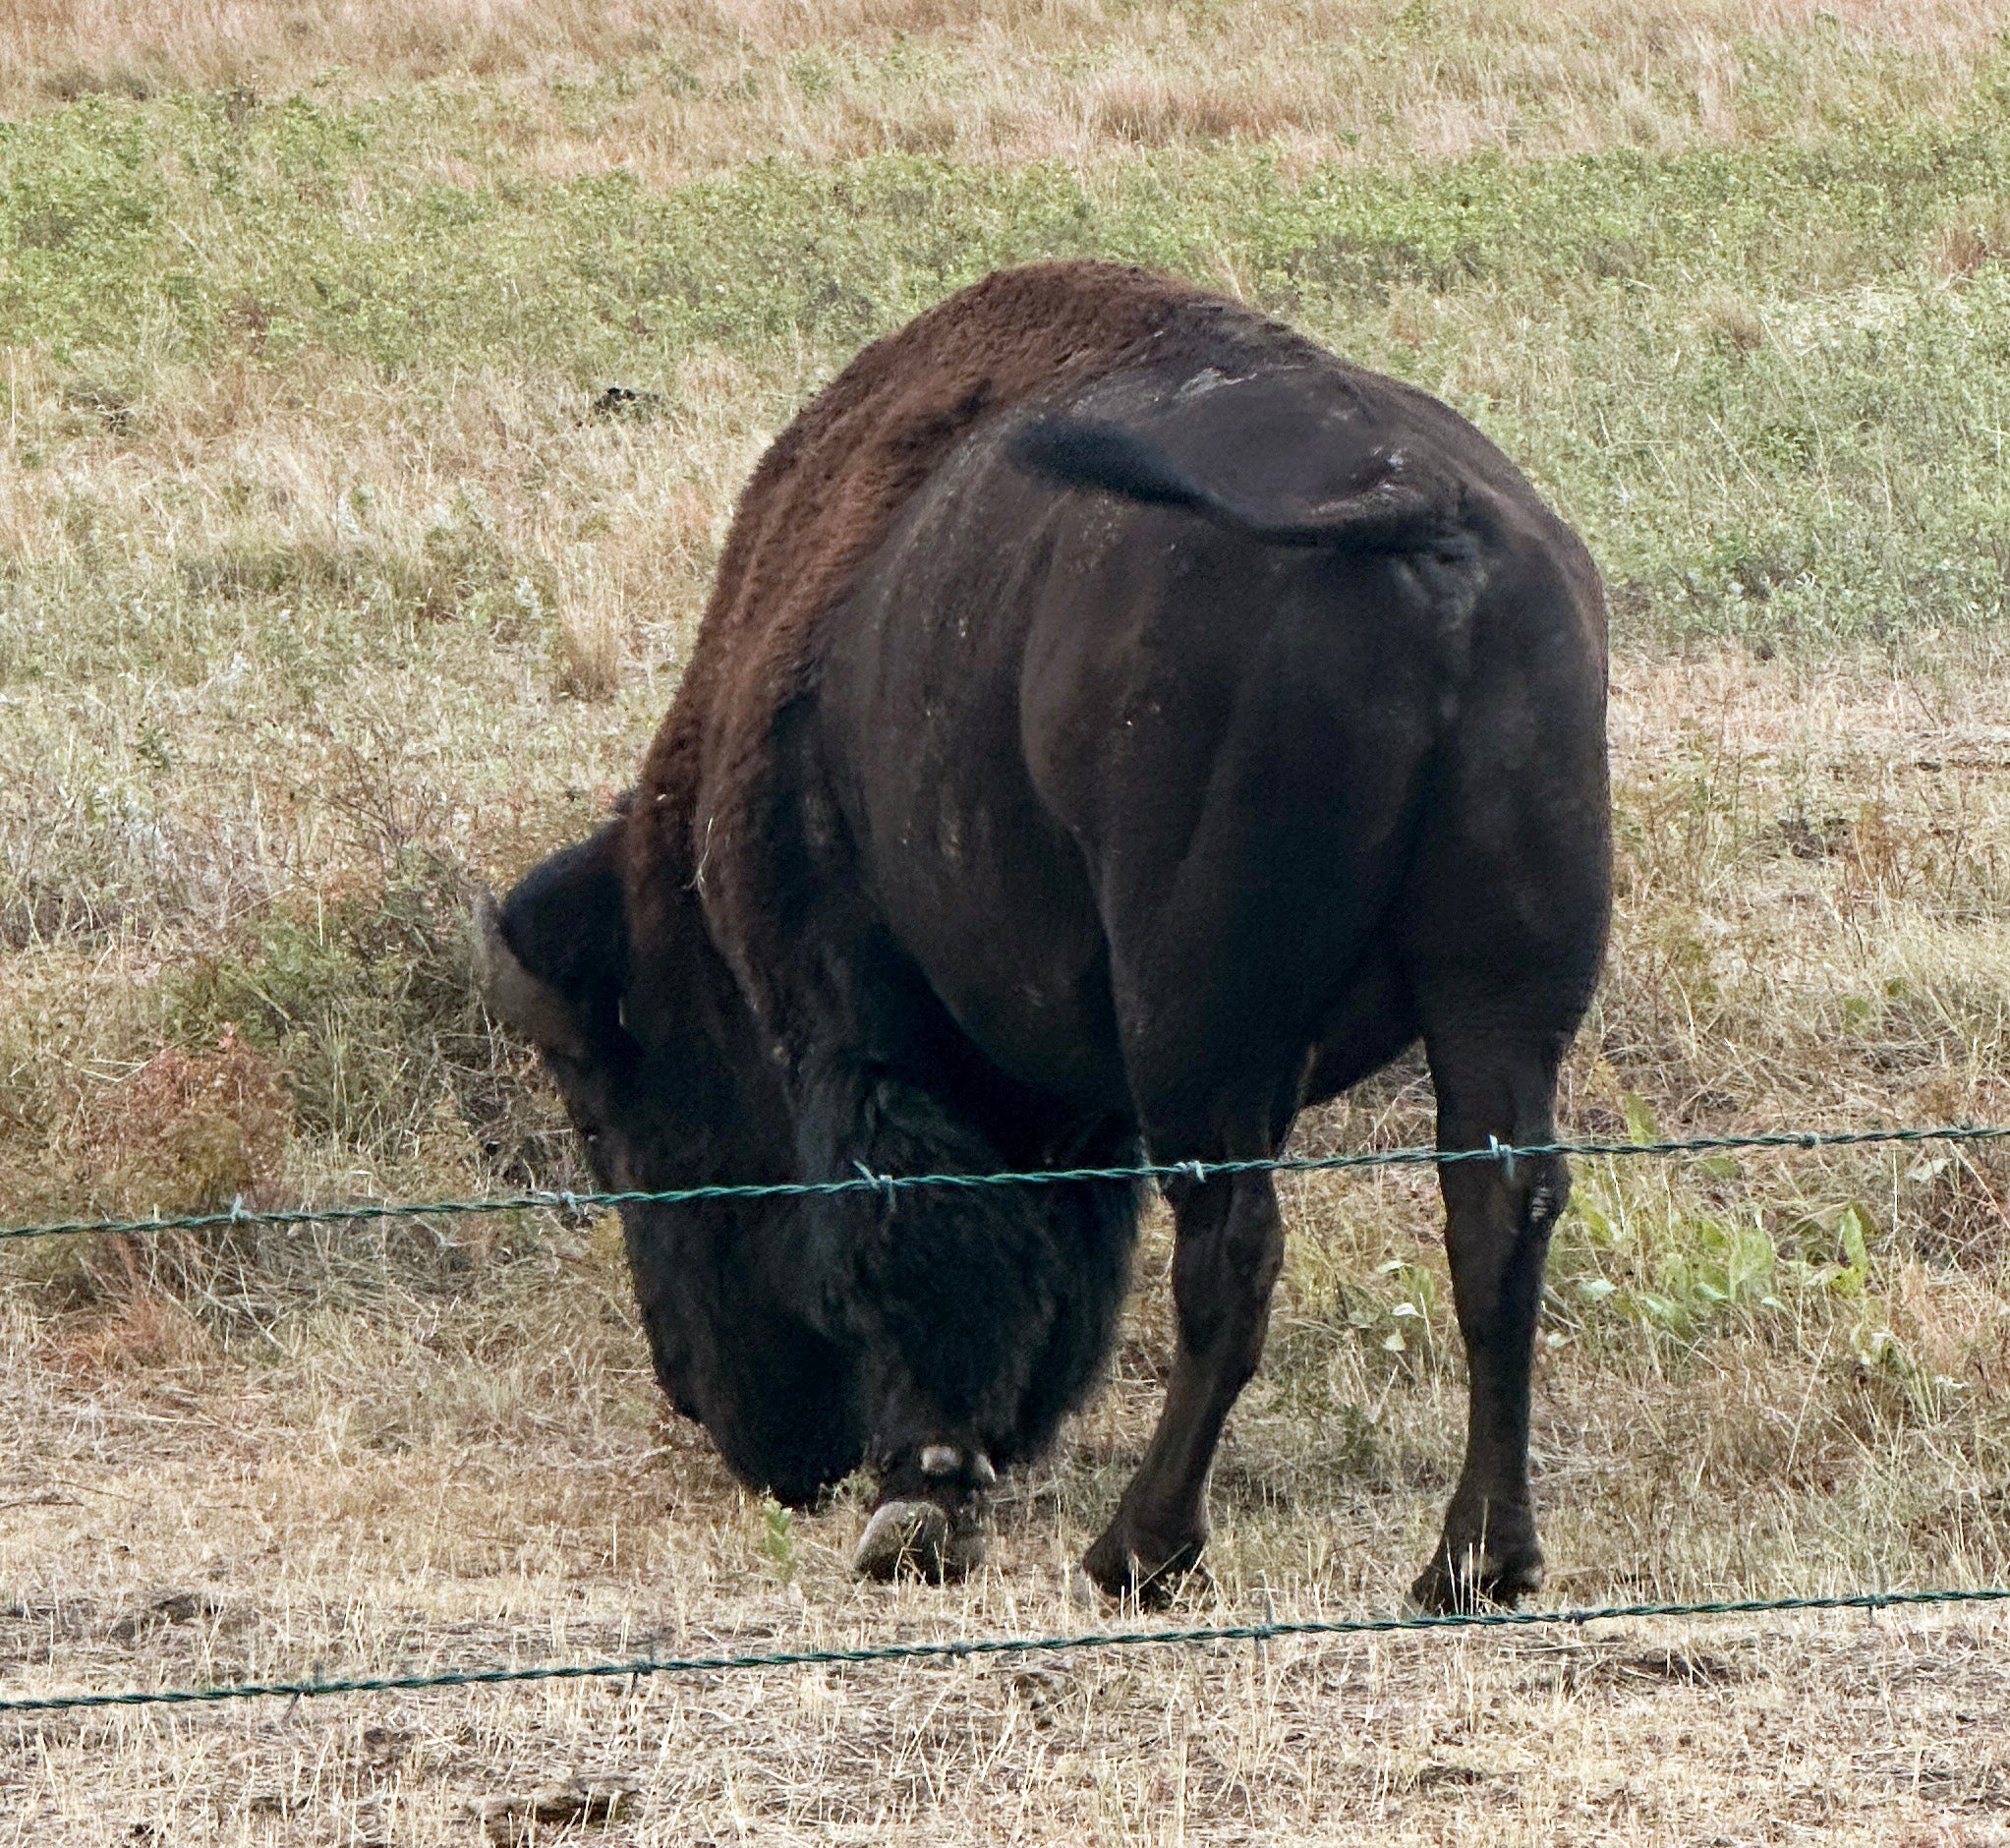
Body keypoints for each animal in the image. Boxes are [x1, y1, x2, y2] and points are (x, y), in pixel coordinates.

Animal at [478, 260, 1610, 1608]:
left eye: (606, 1122)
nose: (703, 1406)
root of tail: (1422, 513)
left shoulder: (857, 1024)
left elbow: (919, 1228)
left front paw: (921, 1497)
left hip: (1204, 1032)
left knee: (1231, 1253)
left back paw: (1141, 1547)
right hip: (1495, 1003)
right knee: (1496, 1217)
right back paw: (1475, 1557)